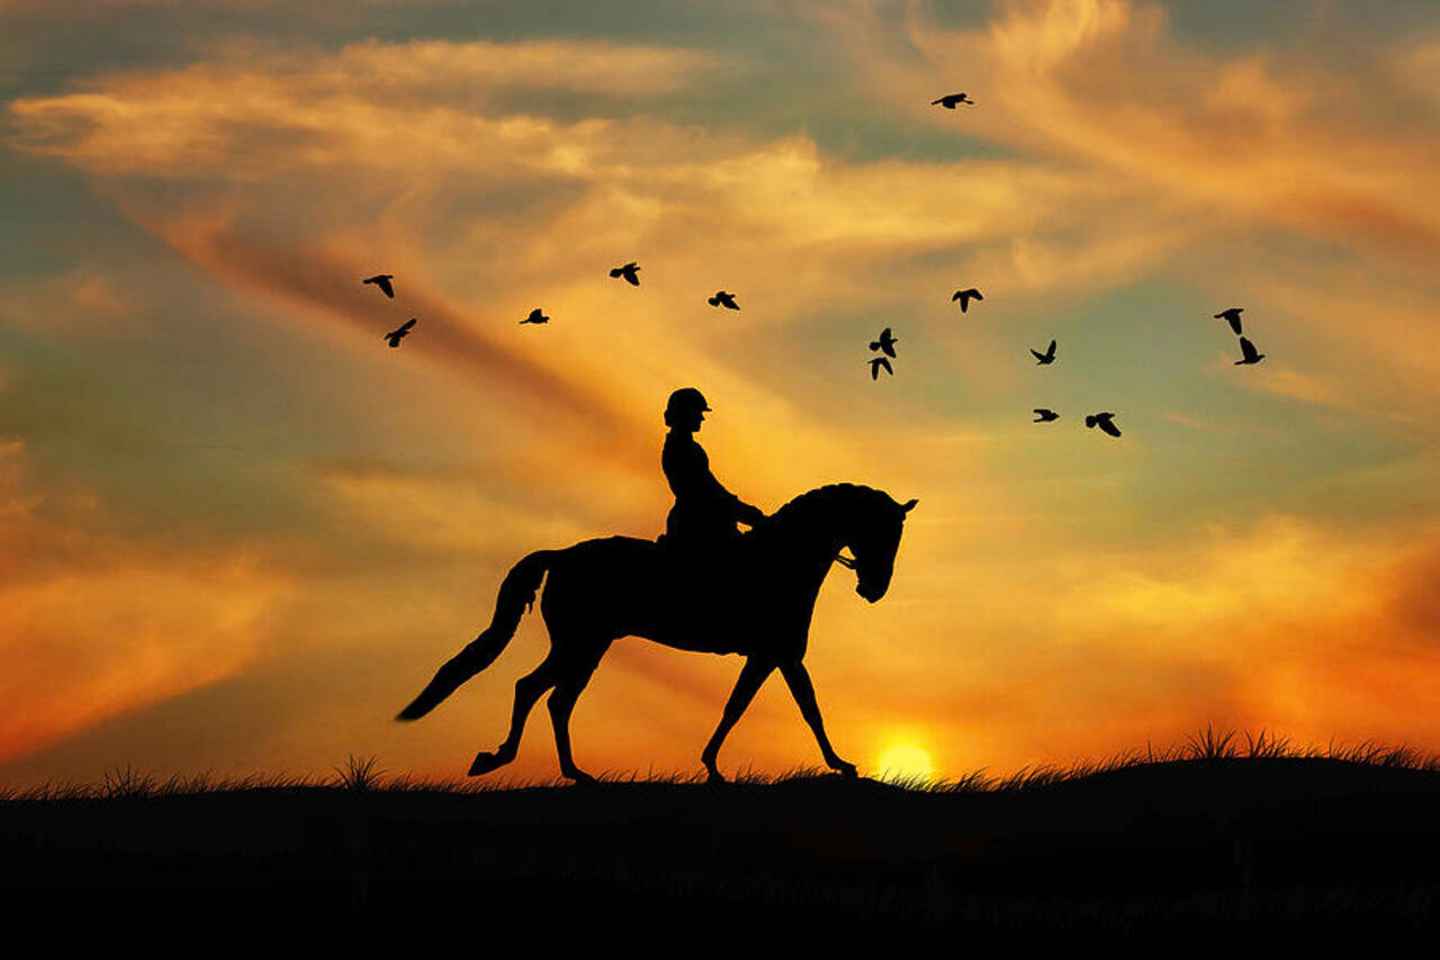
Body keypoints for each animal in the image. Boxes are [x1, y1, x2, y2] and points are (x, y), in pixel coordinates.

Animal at [395, 483, 917, 783]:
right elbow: (802, 710)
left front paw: (712, 765)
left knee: (547, 696)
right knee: (542, 692)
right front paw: (841, 764)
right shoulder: (779, 654)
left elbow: (745, 707)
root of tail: (561, 555)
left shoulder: (771, 656)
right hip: (583, 644)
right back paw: (519, 762)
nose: (874, 589)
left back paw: (562, 770)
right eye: (882, 532)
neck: (782, 559)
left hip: (584, 645)